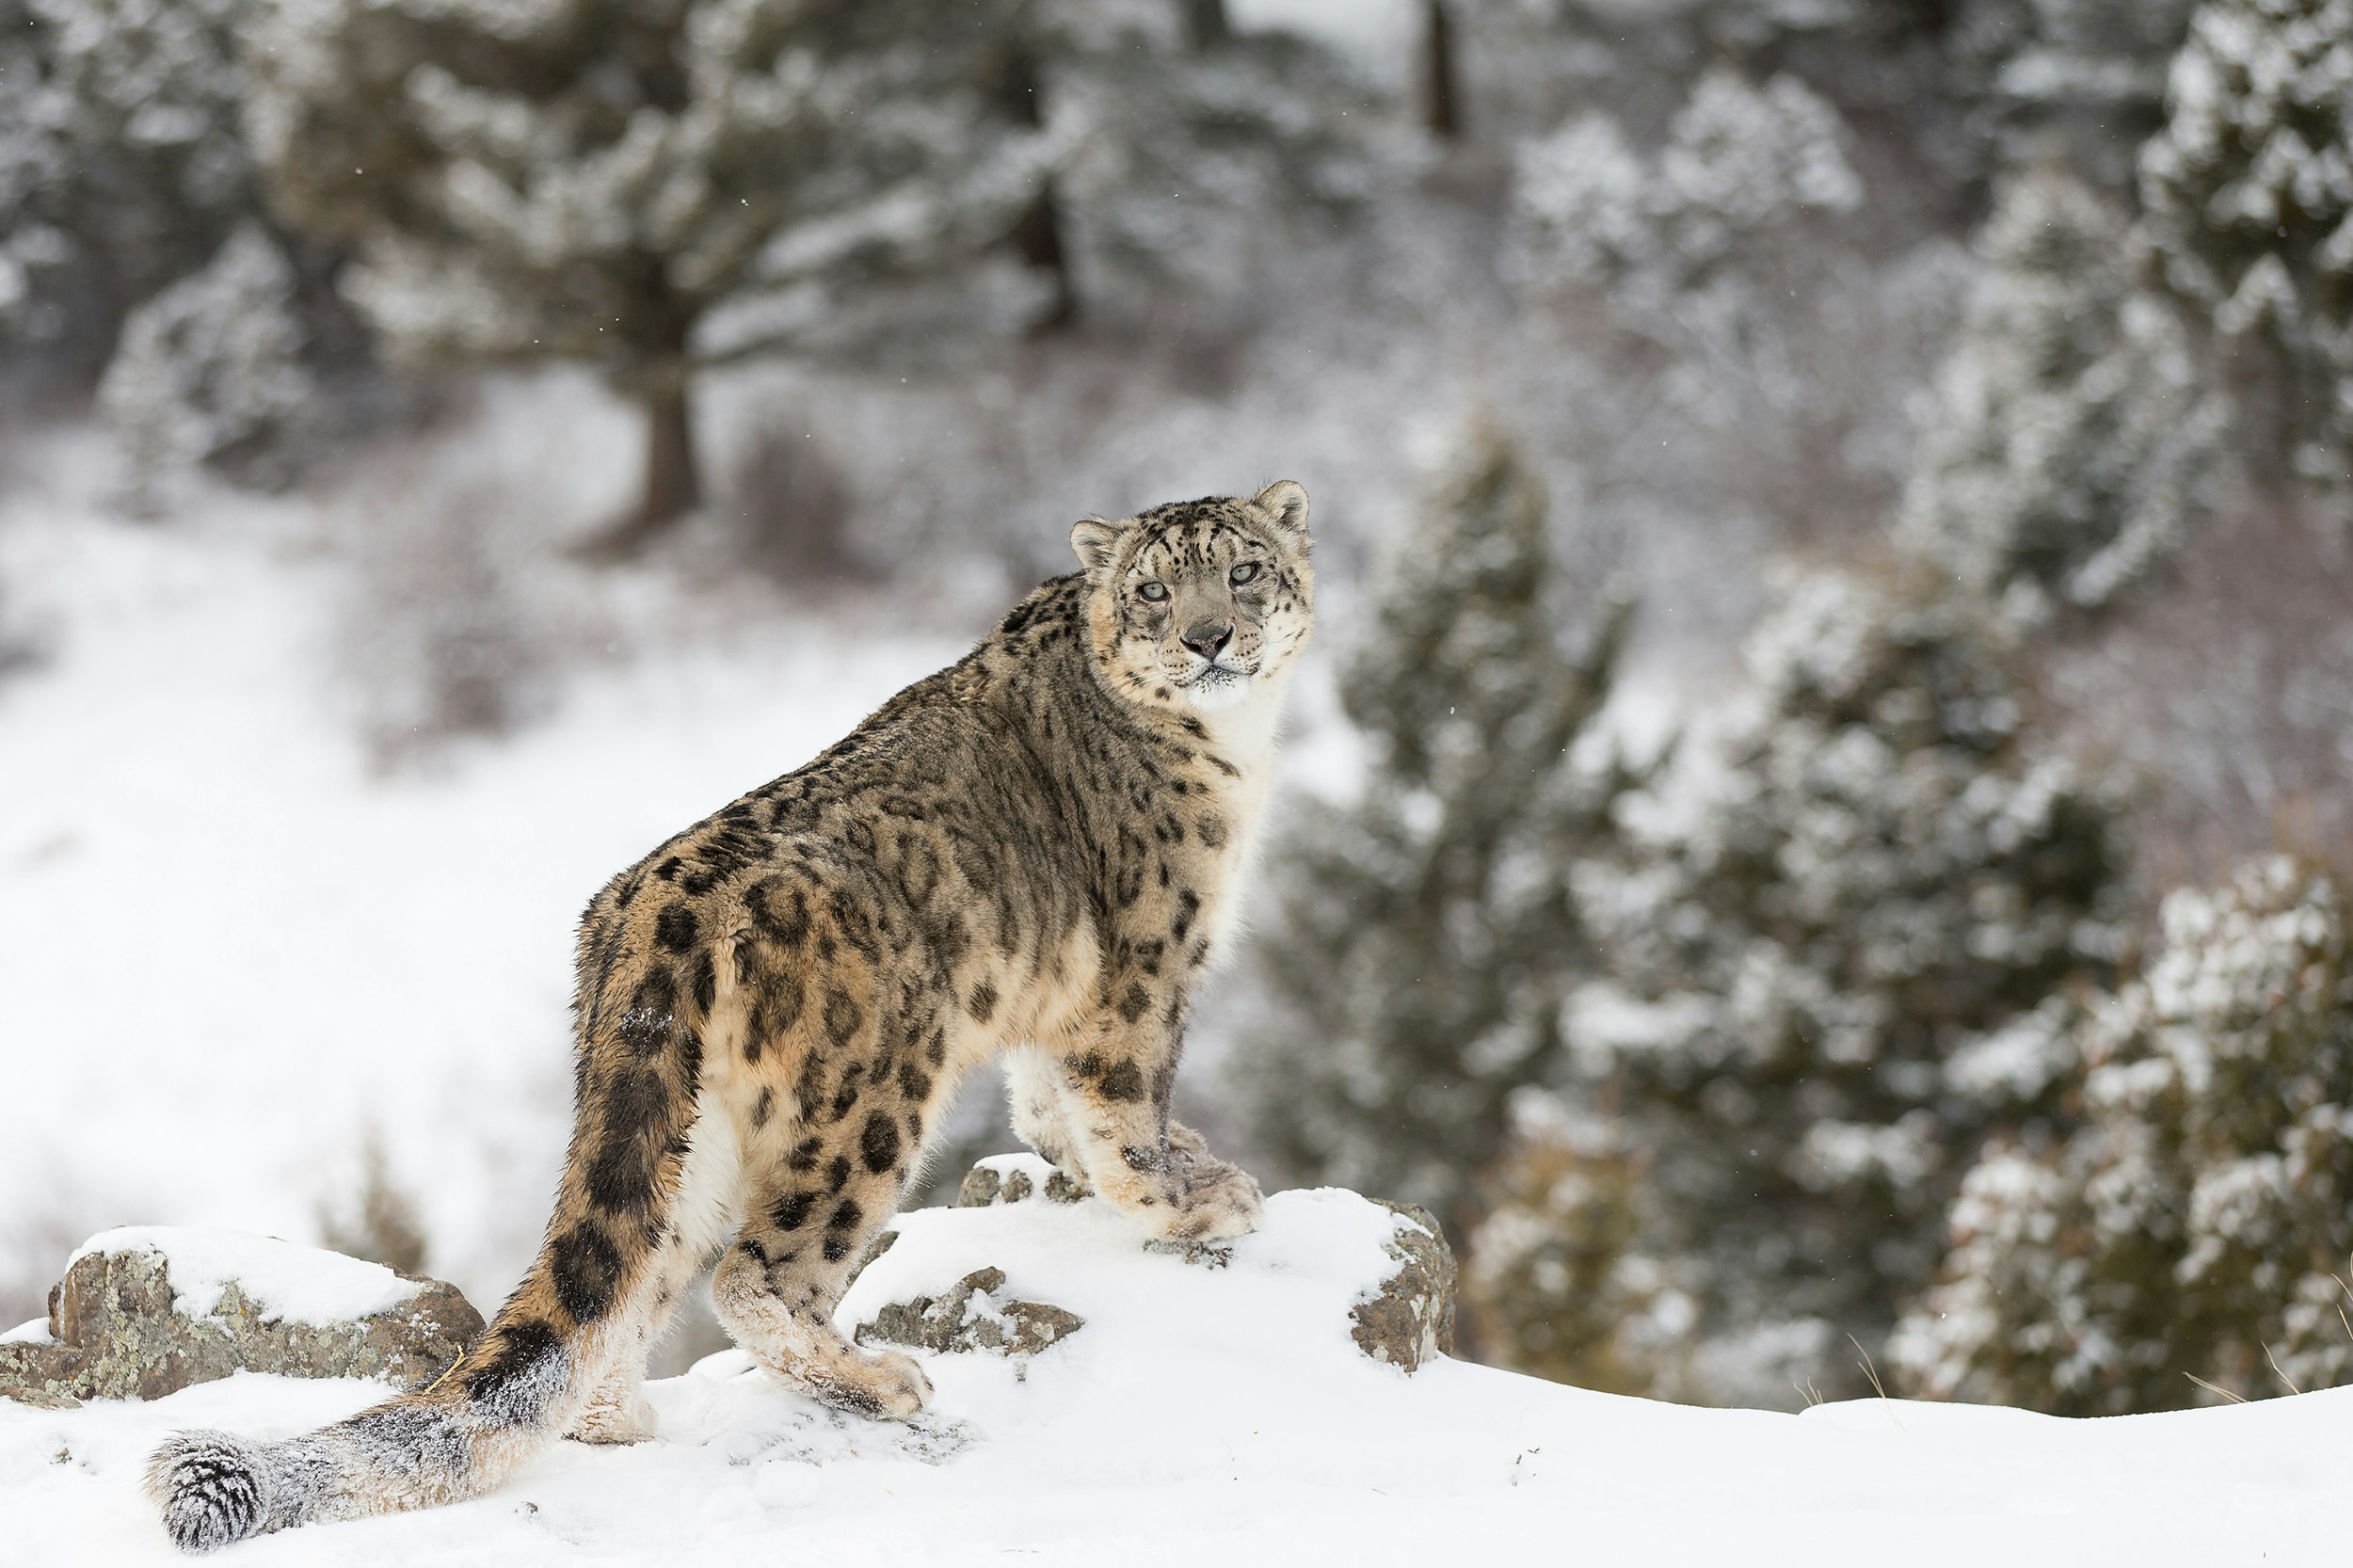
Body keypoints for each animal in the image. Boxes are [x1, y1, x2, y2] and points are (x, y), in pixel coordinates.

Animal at [147, 480, 1318, 1553]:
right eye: (1155, 589)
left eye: (1242, 570)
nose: (1209, 635)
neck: (1234, 749)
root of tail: (646, 912)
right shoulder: (1144, 967)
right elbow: (1124, 1111)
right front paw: (1194, 1201)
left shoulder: (1057, 1000)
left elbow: (1046, 1106)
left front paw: (1137, 1166)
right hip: (873, 1096)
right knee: (757, 1270)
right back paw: (877, 1380)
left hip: (685, 1131)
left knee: (633, 1280)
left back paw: (622, 1416)